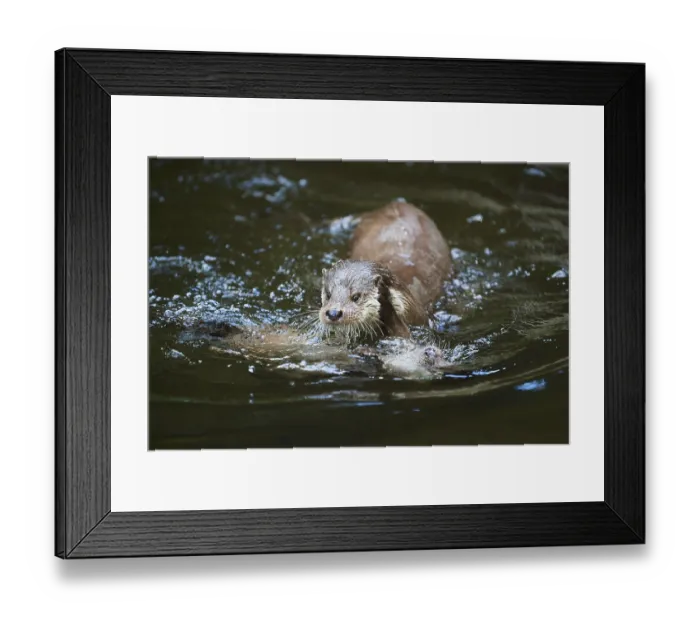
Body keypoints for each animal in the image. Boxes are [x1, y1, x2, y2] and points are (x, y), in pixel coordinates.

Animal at [319, 201, 451, 342]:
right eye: (328, 294)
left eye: (356, 296)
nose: (333, 313)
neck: (405, 301)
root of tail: (396, 203)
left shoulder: (418, 317)